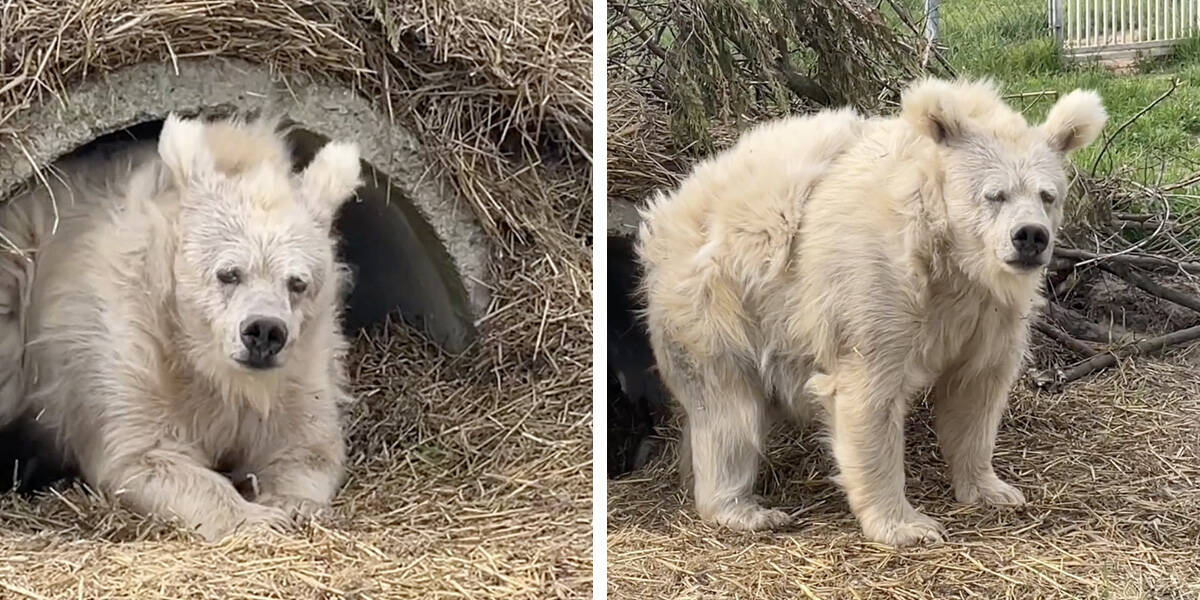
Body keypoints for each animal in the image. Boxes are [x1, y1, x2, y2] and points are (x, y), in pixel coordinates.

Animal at [0, 112, 360, 540]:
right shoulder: (136, 349)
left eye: (298, 282)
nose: (264, 332)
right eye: (228, 273)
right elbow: (148, 453)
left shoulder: (303, 364)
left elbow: (307, 446)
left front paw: (290, 504)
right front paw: (258, 518)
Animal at [638, 77, 1104, 547]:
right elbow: (869, 396)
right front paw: (908, 525)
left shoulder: (988, 310)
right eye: (995, 194)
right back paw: (746, 509)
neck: (948, 257)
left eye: (1047, 195)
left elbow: (976, 390)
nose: (1030, 236)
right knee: (728, 412)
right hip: (717, 303)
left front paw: (994, 489)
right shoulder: (876, 287)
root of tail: (671, 205)